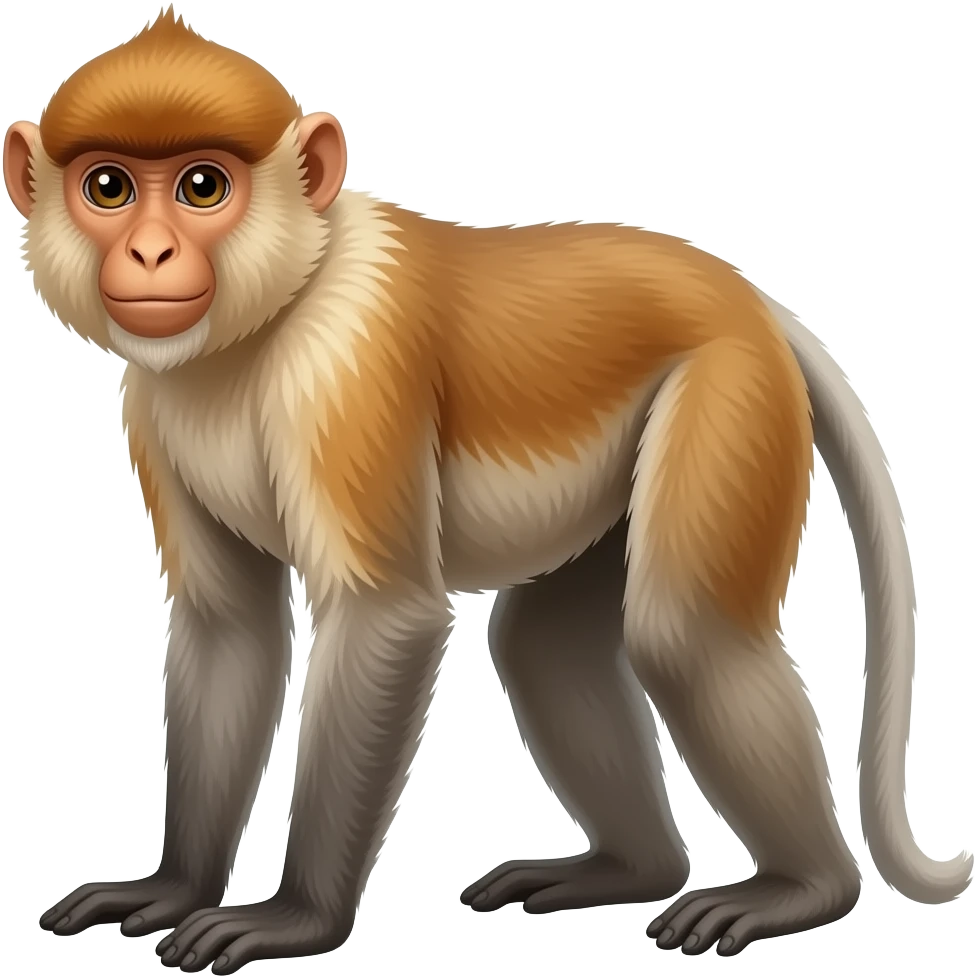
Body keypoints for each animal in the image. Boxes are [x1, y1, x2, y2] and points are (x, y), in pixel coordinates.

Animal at [6, 6, 971, 972]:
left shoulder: (347, 364)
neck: (275, 307)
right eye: (108, 187)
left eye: (202, 186)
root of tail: (749, 300)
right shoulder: (151, 401)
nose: (150, 252)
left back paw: (803, 888)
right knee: (547, 645)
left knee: (682, 635)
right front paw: (173, 887)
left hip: (729, 396)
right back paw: (632, 868)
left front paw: (294, 917)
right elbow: (228, 629)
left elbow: (386, 617)